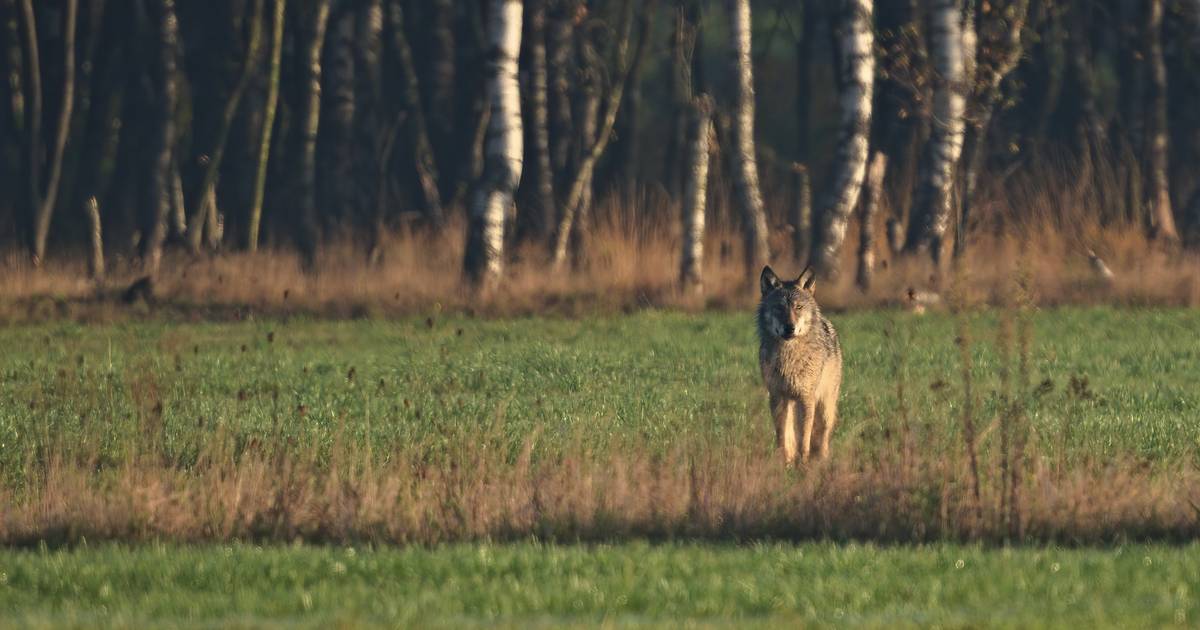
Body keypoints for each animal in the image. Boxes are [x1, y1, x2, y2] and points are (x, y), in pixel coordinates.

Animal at [757, 265, 843, 465]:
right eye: (779, 307)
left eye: (798, 307)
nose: (790, 327)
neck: (789, 358)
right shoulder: (777, 397)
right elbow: (782, 435)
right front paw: (784, 462)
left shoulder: (806, 397)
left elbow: (805, 436)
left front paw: (803, 462)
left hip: (824, 405)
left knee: (823, 433)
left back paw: (821, 458)